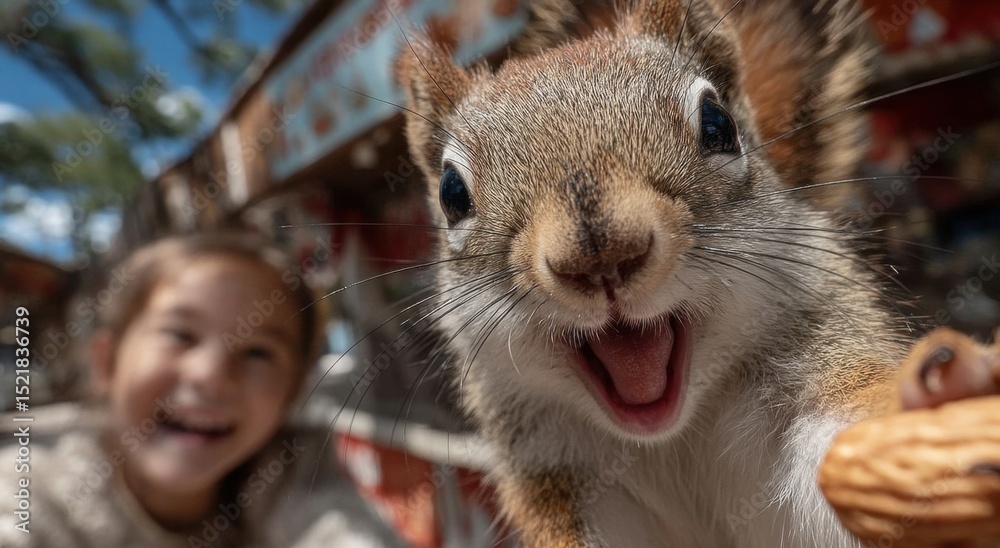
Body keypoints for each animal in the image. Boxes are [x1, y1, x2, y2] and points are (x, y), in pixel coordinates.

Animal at [395, 0, 957, 545]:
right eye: (451, 193)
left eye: (718, 125)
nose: (600, 257)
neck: (673, 432)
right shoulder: (558, 470)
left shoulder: (818, 352)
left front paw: (930, 405)